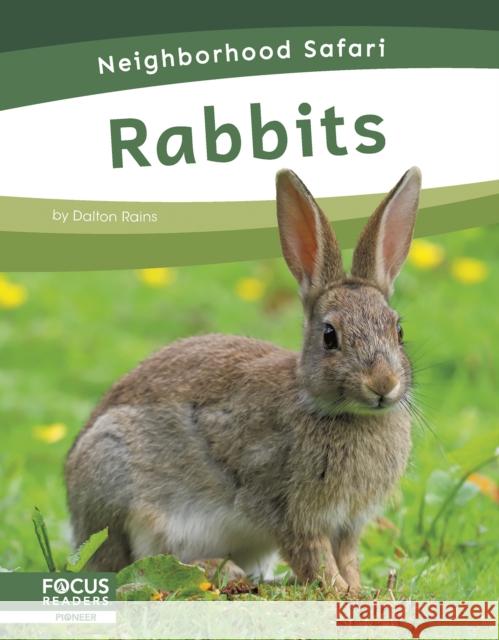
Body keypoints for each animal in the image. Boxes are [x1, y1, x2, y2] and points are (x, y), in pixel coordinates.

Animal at [65, 166, 422, 595]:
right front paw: (339, 591)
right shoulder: (290, 511)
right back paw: (221, 572)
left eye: (398, 330)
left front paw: (359, 590)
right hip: (114, 477)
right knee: (135, 565)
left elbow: (347, 556)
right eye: (329, 336)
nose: (383, 384)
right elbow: (315, 557)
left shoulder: (348, 523)